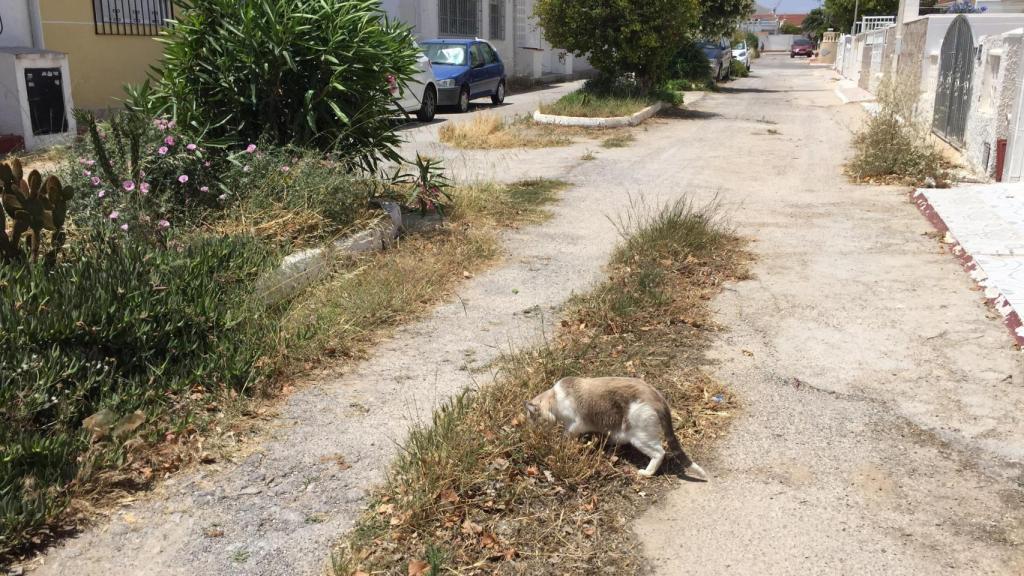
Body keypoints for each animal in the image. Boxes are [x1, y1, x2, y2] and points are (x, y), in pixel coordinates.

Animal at [528, 375, 704, 477]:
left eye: (533, 420)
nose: (532, 431)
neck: (555, 398)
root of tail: (658, 398)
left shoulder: (576, 424)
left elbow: (566, 434)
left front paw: (561, 443)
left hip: (641, 437)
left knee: (660, 453)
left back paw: (646, 473)